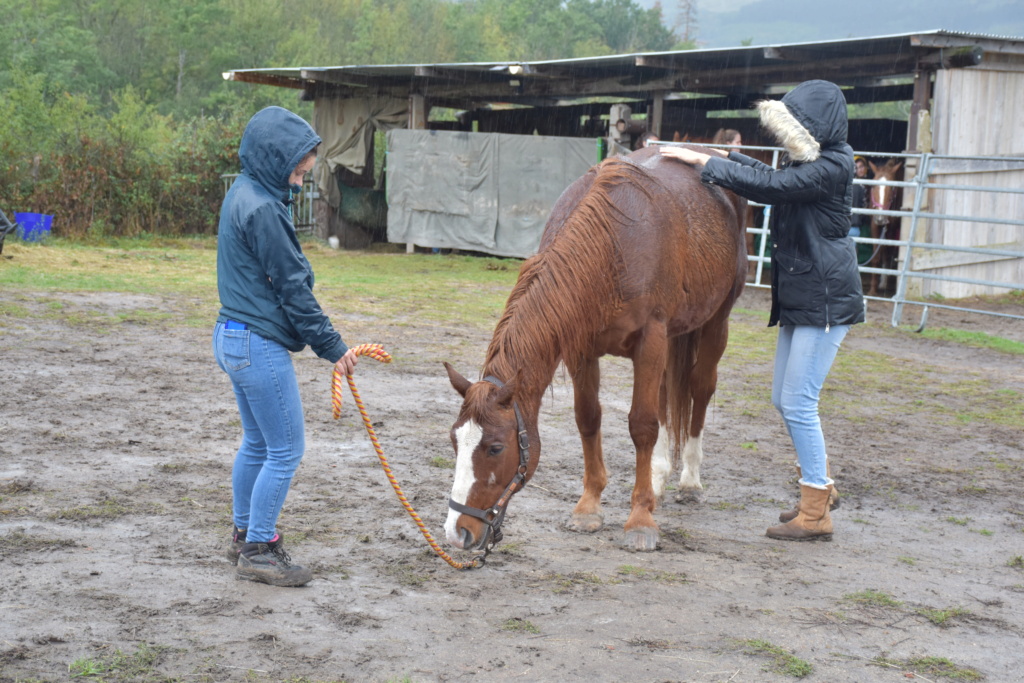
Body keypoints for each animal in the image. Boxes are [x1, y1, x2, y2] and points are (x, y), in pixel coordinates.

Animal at [440, 147, 745, 552]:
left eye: (495, 448)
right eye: (454, 440)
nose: (456, 532)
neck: (613, 247)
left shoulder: (651, 341)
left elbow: (642, 424)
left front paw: (640, 519)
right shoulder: (582, 348)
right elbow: (588, 418)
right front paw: (588, 507)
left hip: (715, 324)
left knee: (700, 389)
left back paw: (690, 480)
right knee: (667, 397)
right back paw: (658, 477)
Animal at [864, 160, 905, 299]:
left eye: (892, 188)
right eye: (873, 186)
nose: (881, 218)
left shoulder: (891, 228)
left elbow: (887, 252)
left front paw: (883, 283)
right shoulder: (874, 224)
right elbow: (876, 257)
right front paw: (872, 290)